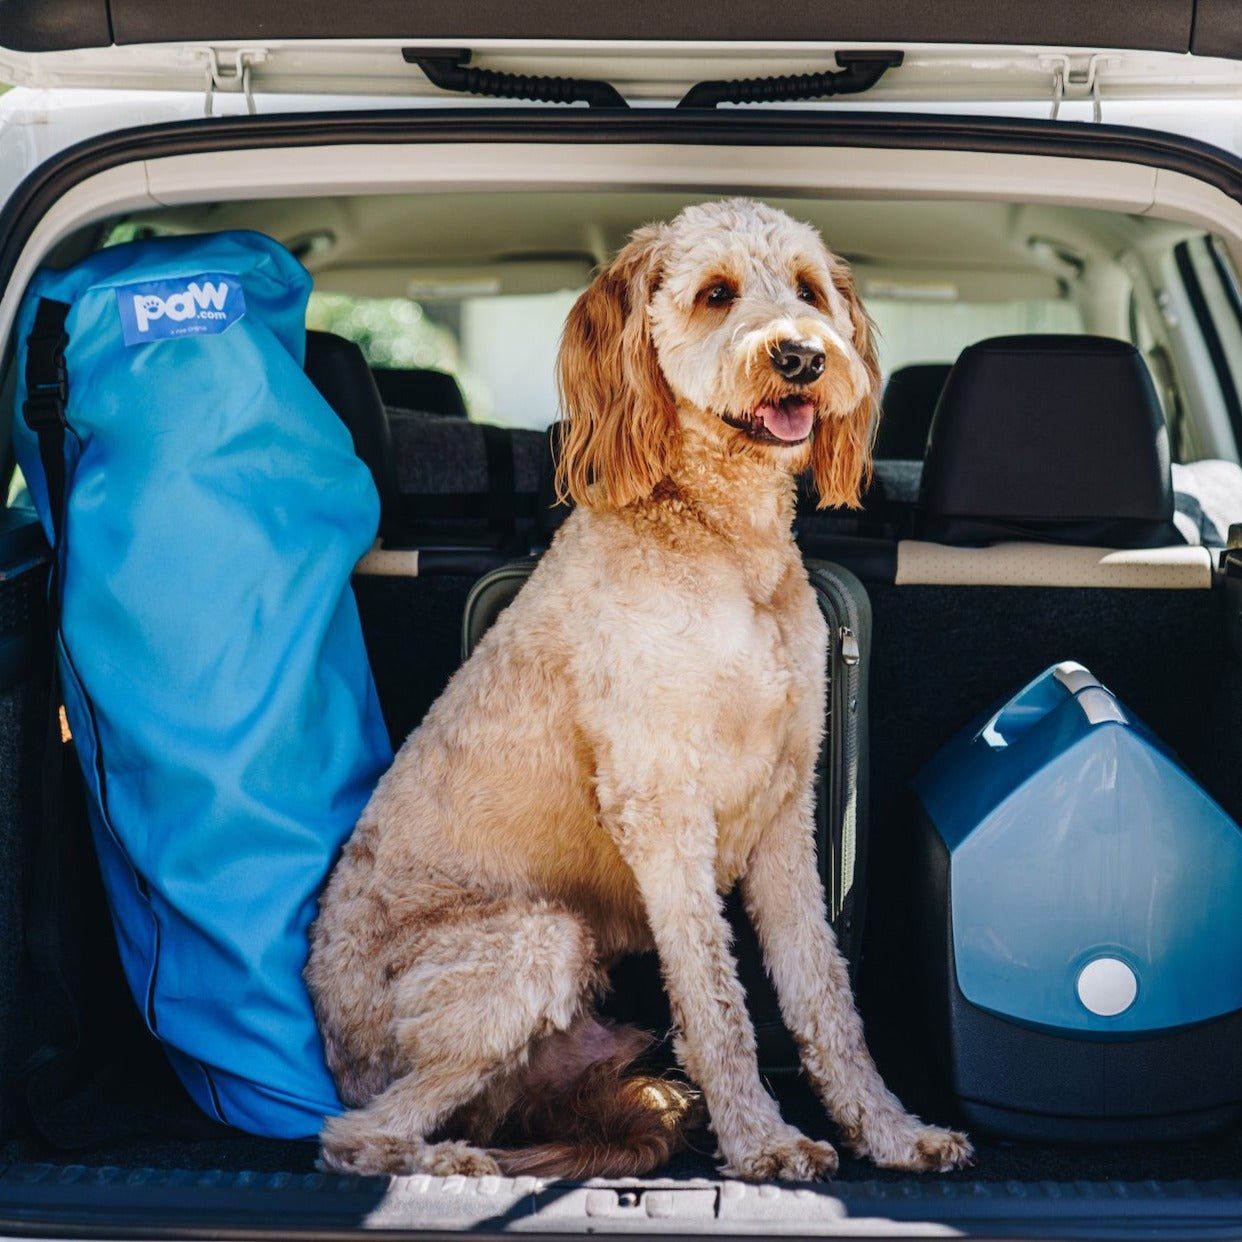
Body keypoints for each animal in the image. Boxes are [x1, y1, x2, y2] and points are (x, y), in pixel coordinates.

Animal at [308, 196, 968, 1182]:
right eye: (717, 293)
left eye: (808, 290)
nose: (802, 356)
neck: (724, 542)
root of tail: (332, 1040)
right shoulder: (661, 806)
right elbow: (716, 1001)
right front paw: (763, 1141)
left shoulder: (786, 807)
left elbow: (824, 996)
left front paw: (888, 1131)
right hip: (535, 941)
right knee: (355, 1134)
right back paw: (454, 1162)